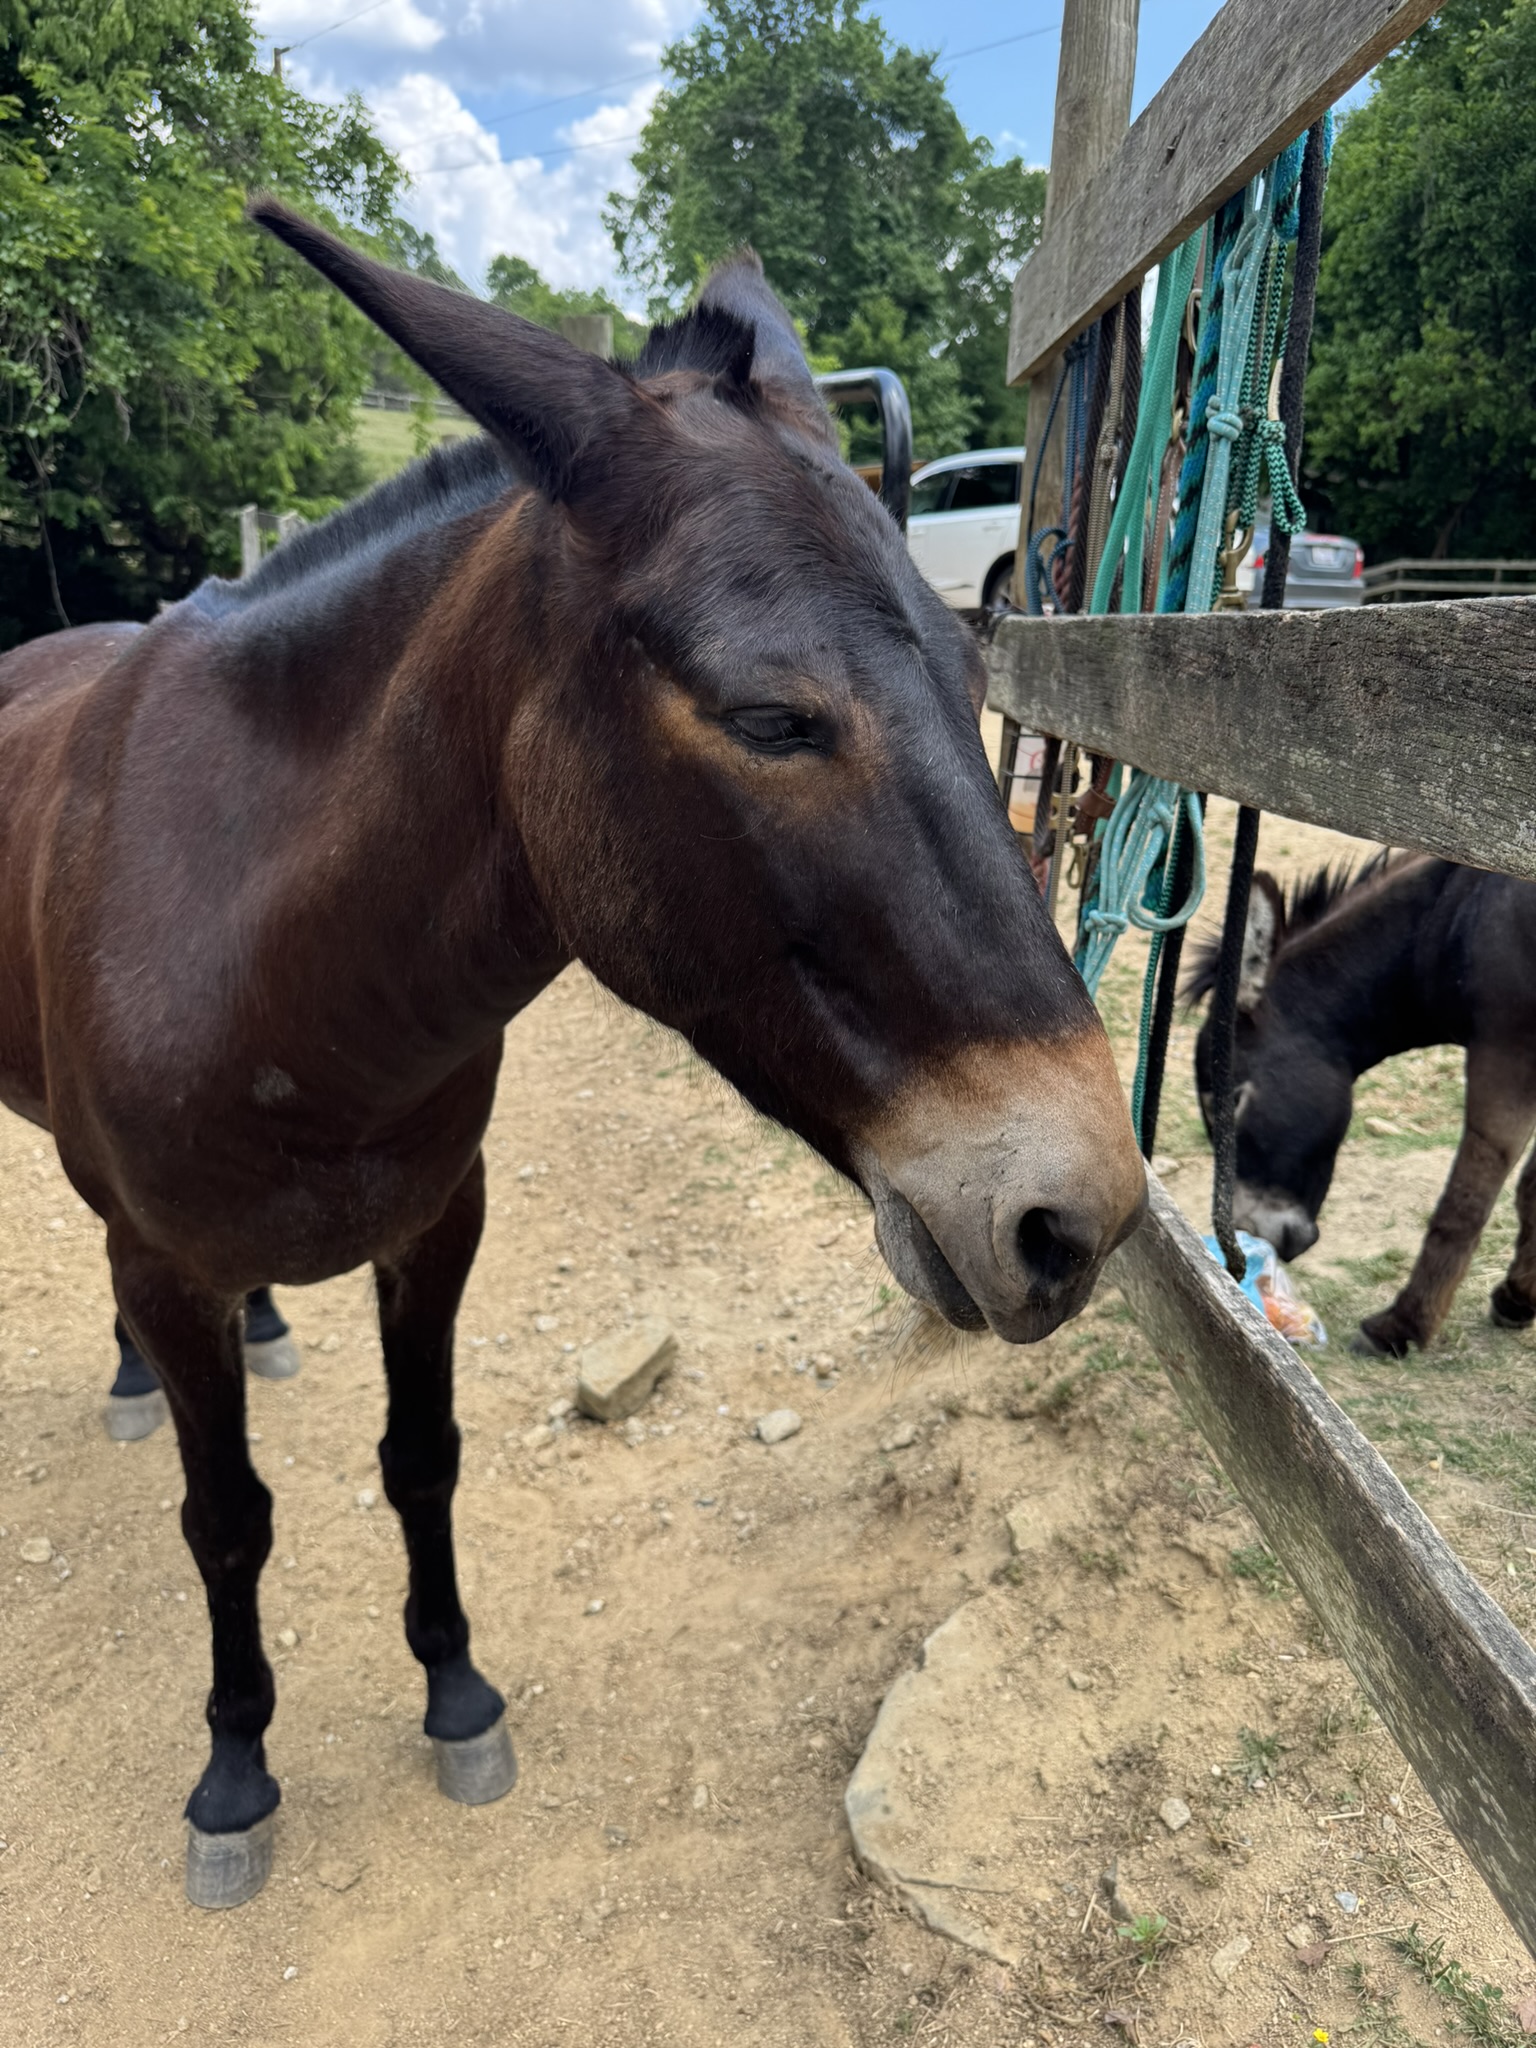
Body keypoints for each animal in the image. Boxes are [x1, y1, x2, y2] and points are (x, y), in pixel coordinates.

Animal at [0, 199, 1146, 1908]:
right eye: (769, 719)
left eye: (973, 674)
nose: (1086, 1220)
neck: (281, 978)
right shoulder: (163, 1254)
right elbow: (227, 1522)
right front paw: (236, 1776)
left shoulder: (437, 1222)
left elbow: (422, 1457)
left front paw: (457, 1692)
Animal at [1188, 855, 1536, 1356]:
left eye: (1231, 1101)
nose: (1245, 1234)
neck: (1450, 917)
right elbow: (1531, 1189)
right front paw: (1518, 1297)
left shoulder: (1506, 1059)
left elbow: (1461, 1207)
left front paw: (1401, 1327)